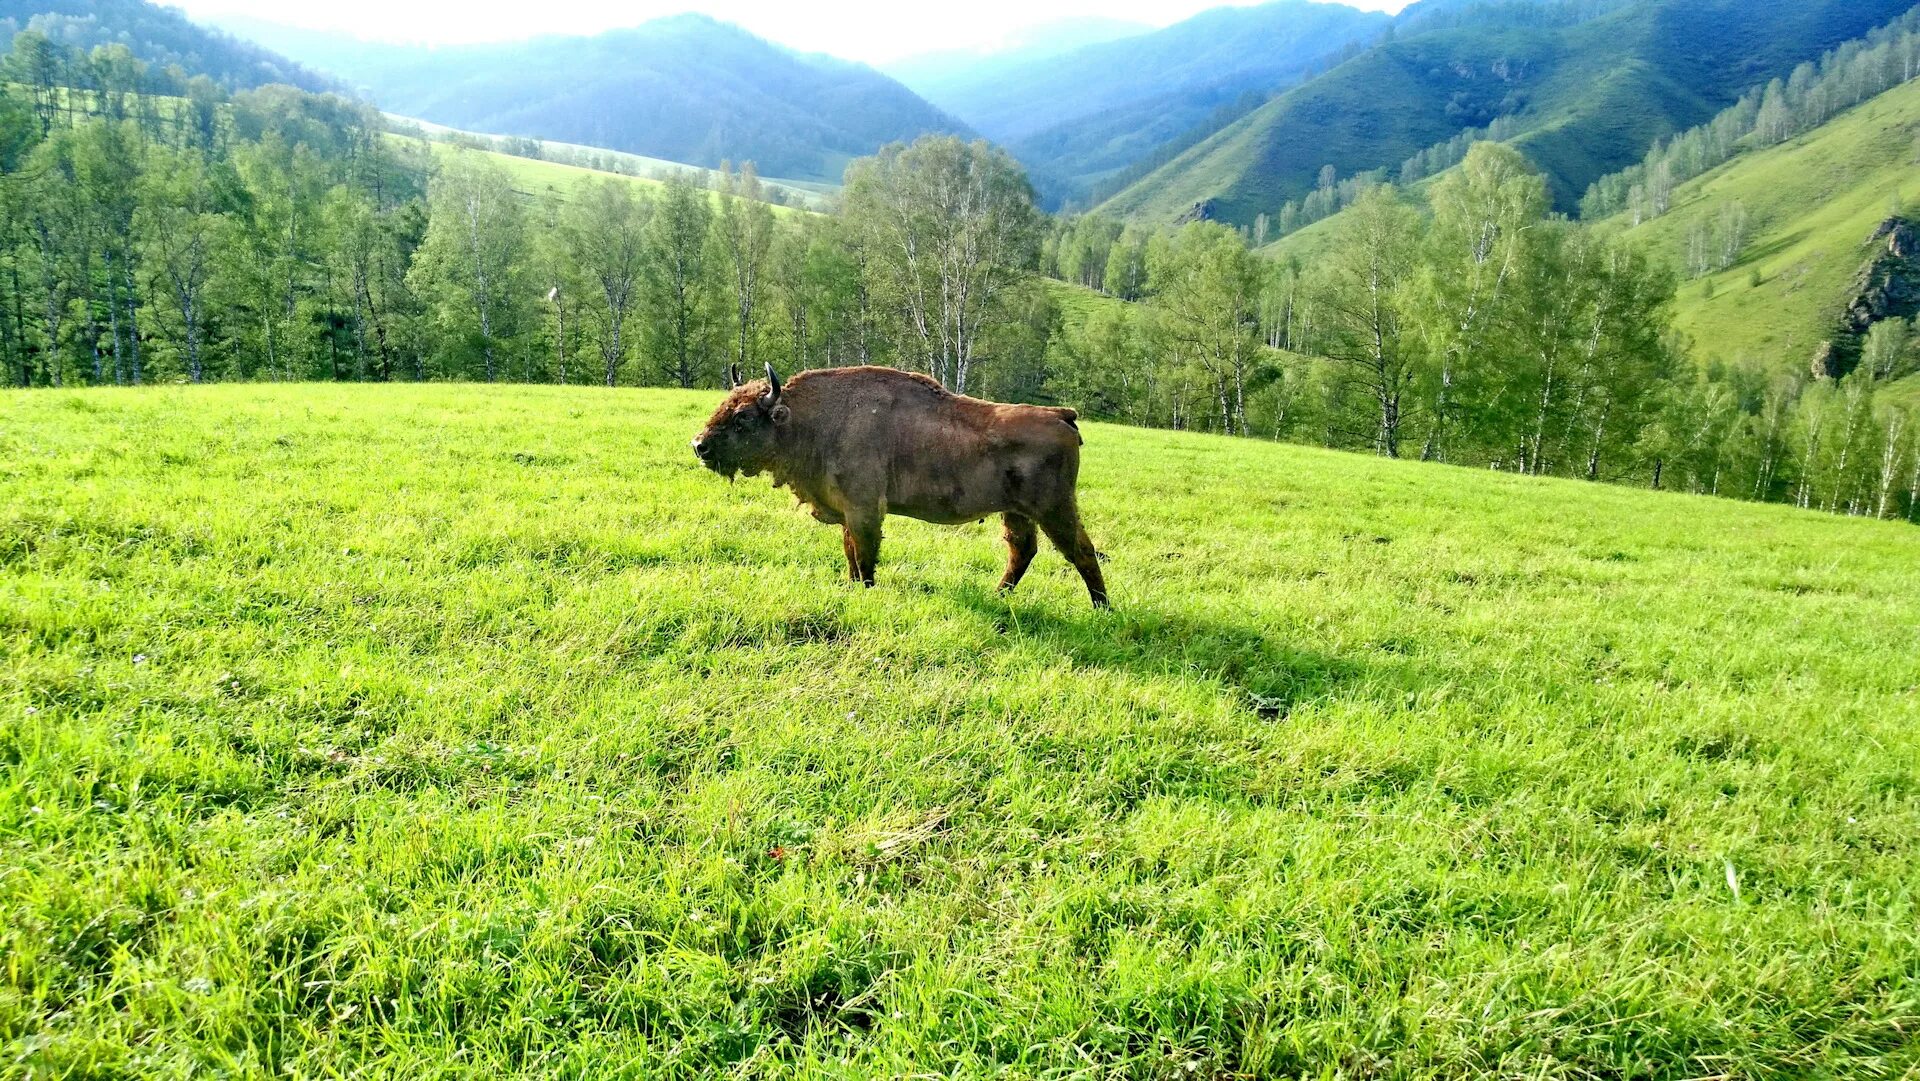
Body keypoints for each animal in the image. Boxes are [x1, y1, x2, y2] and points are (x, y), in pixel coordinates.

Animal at [695, 360, 1113, 606]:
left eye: (744, 417)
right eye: (725, 405)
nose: (699, 445)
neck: (812, 418)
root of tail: (1061, 414)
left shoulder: (864, 509)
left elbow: (864, 555)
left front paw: (865, 590)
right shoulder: (847, 510)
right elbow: (850, 553)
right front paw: (850, 586)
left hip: (1054, 509)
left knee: (1081, 550)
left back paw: (1101, 608)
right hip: (1016, 513)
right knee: (1022, 551)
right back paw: (999, 597)